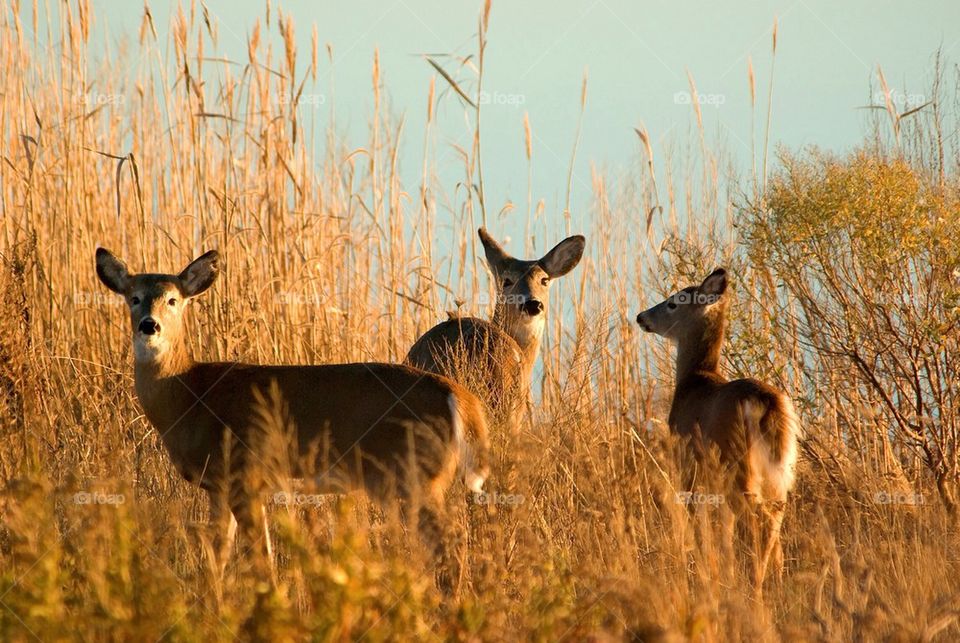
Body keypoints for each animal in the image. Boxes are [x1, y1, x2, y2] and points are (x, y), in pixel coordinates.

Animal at [95, 248, 488, 588]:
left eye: (173, 300)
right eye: (134, 298)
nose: (150, 326)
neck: (189, 393)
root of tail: (463, 400)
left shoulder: (246, 475)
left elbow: (261, 559)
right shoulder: (218, 485)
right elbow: (217, 555)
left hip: (416, 476)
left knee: (451, 546)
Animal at [632, 266, 800, 588]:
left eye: (674, 302)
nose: (641, 316)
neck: (695, 378)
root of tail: (767, 402)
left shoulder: (688, 466)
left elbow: (700, 525)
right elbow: (725, 532)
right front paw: (726, 572)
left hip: (736, 461)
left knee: (758, 517)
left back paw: (757, 583)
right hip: (780, 470)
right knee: (775, 515)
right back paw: (776, 579)